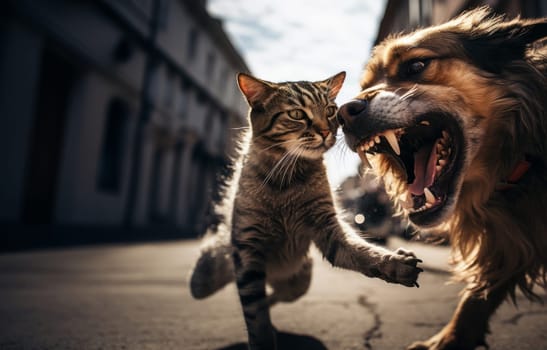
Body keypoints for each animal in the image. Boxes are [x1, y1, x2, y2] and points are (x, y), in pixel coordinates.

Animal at [188, 72, 424, 350]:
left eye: (331, 111)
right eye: (297, 114)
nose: (325, 131)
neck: (287, 178)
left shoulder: (329, 230)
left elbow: (365, 253)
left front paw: (394, 263)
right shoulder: (248, 248)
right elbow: (255, 314)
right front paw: (262, 340)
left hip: (298, 283)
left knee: (274, 296)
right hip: (207, 280)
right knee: (213, 271)